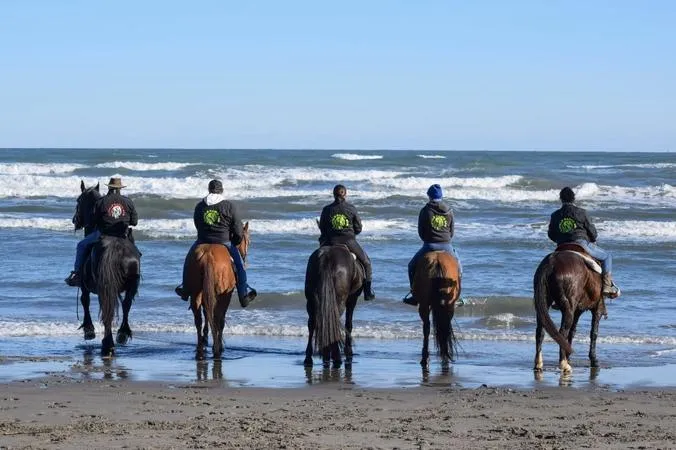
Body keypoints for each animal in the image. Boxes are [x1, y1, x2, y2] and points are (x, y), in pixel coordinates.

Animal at [184, 223, 250, 360]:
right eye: (248, 240)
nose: (245, 256)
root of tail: (208, 256)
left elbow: (206, 314)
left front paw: (205, 338)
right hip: (223, 295)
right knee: (219, 319)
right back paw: (217, 349)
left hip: (196, 292)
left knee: (198, 319)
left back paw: (200, 349)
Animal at [533, 244, 608, 374]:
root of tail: (552, 263)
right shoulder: (597, 308)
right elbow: (594, 333)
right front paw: (594, 361)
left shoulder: (578, 310)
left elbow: (573, 332)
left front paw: (569, 357)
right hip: (568, 308)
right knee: (562, 332)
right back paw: (564, 364)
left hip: (545, 304)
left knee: (540, 331)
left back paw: (539, 363)